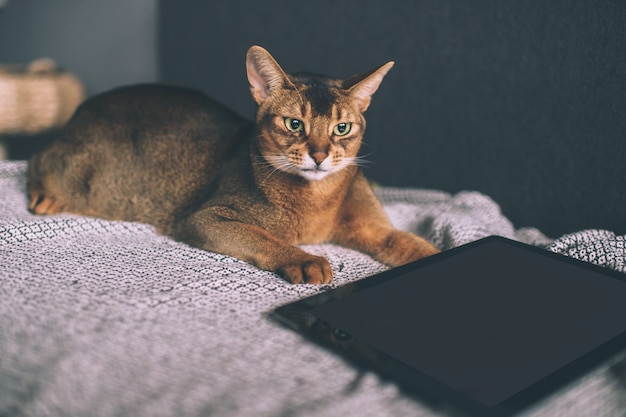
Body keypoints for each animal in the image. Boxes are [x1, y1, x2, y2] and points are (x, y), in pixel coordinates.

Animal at [28, 46, 438, 286]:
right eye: (294, 124)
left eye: (342, 128)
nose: (320, 155)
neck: (318, 201)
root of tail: (82, 108)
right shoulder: (206, 217)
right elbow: (264, 236)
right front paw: (305, 260)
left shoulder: (374, 228)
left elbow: (407, 241)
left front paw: (437, 257)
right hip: (73, 170)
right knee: (36, 157)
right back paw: (44, 197)